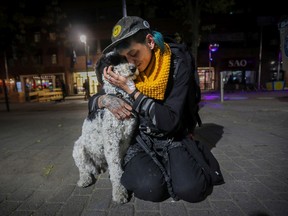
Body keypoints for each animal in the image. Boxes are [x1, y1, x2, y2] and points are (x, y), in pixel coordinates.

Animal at [72, 51, 139, 203]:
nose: (133, 68)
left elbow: (118, 166)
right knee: (83, 169)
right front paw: (120, 192)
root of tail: (96, 166)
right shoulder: (111, 142)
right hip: (78, 148)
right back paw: (84, 179)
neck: (119, 95)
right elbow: (116, 169)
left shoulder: (125, 140)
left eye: (125, 58)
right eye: (112, 62)